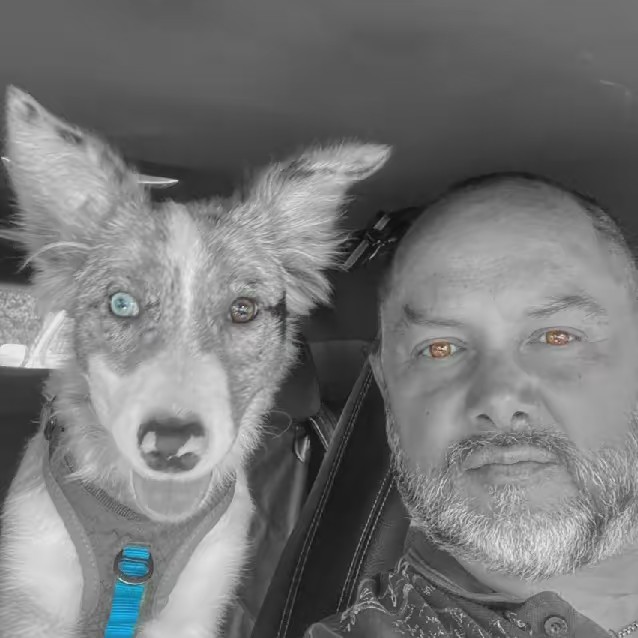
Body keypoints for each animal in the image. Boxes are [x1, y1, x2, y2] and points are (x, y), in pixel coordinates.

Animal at [0, 86, 390, 637]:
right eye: (122, 304)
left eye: (243, 309)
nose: (170, 446)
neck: (139, 530)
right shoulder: (30, 598)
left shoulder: (196, 607)